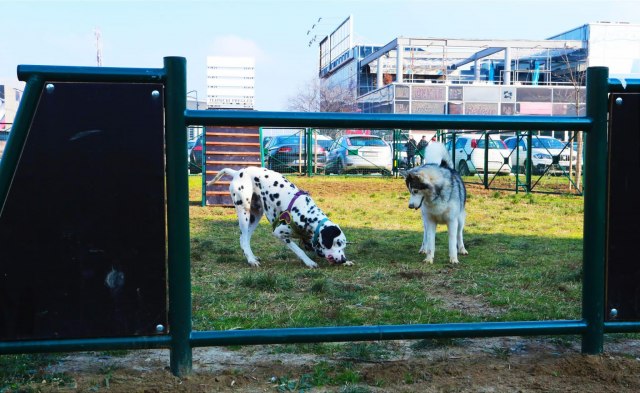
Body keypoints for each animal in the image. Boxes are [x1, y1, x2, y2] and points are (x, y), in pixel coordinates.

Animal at [209, 165, 350, 266]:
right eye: (337, 242)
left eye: (344, 244)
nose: (343, 259)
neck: (307, 215)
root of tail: (237, 172)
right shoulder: (279, 233)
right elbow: (298, 250)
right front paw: (309, 262)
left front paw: (347, 262)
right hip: (244, 212)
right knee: (243, 238)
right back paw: (251, 260)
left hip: (256, 216)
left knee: (245, 238)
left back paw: (252, 257)